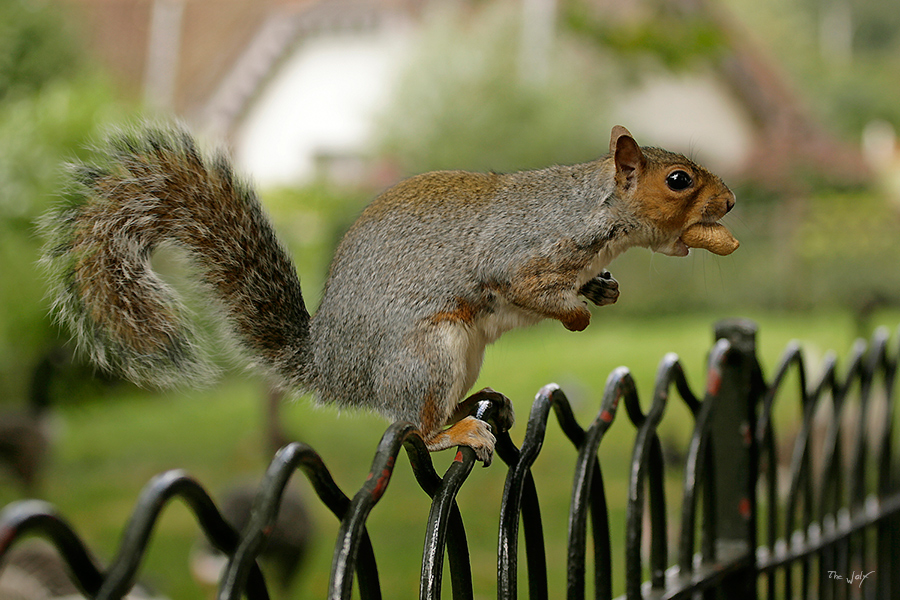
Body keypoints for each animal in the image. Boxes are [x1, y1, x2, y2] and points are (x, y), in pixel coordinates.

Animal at [37, 122, 740, 464]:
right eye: (679, 180)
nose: (731, 202)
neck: (593, 212)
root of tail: (337, 368)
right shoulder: (518, 255)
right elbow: (523, 287)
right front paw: (576, 317)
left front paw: (603, 289)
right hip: (430, 349)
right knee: (416, 427)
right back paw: (457, 432)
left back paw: (476, 404)